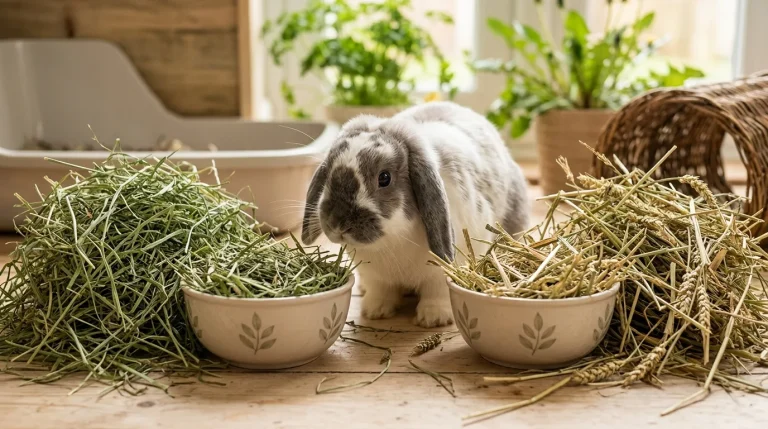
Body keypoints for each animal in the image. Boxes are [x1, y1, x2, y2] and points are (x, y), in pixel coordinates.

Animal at [301, 102, 529, 327]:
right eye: (329, 173)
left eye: (384, 178)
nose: (337, 223)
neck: (393, 240)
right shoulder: (376, 276)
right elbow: (381, 291)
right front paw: (375, 310)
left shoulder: (440, 273)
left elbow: (437, 292)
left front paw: (433, 318)